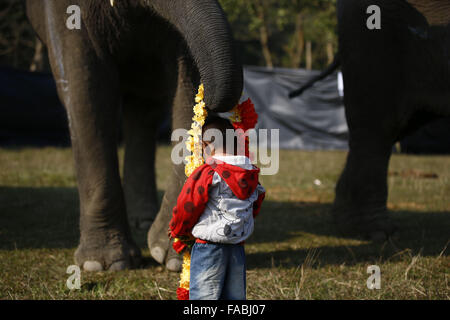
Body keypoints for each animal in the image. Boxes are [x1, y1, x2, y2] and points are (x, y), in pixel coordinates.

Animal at [26, 0, 244, 272]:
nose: (213, 104)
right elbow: (86, 85)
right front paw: (103, 264)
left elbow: (185, 74)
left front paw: (176, 254)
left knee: (144, 106)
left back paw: (144, 221)